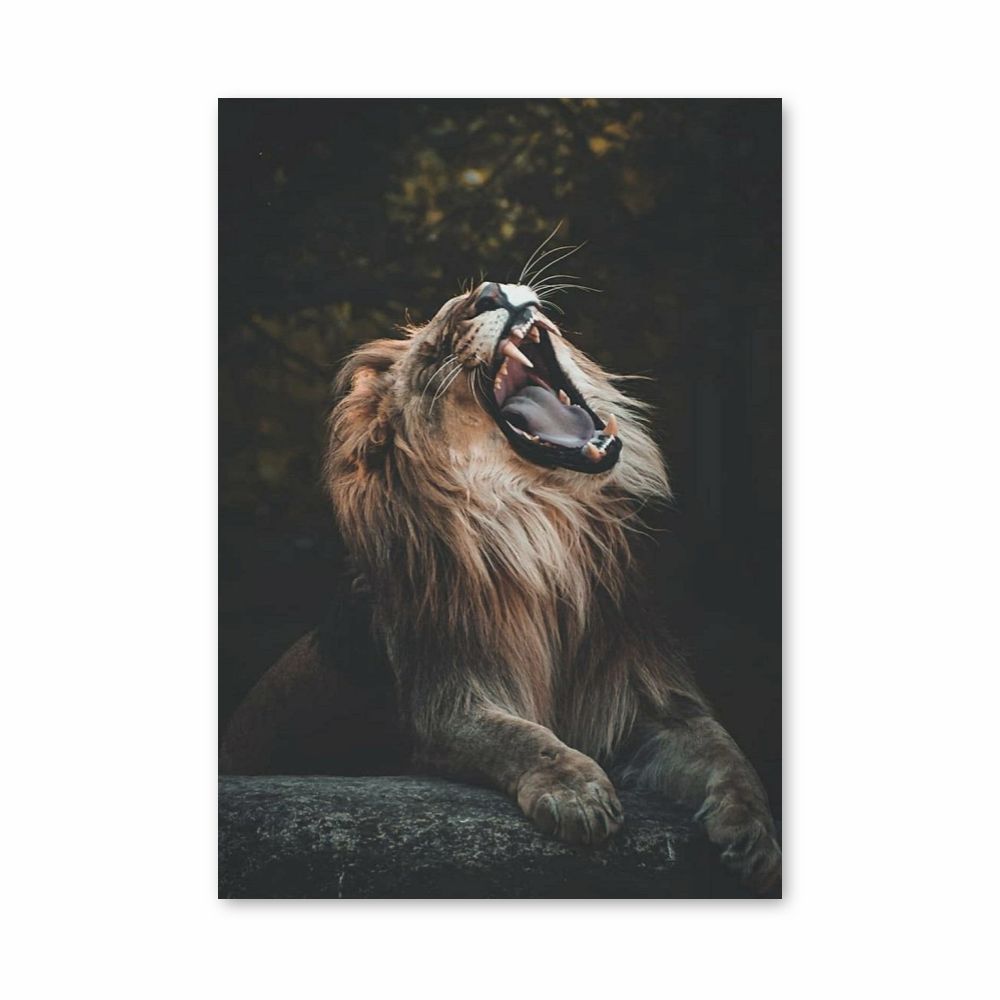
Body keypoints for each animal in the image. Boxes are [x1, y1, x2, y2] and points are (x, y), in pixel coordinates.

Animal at [221, 275, 781, 893]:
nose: (490, 291)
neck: (543, 522)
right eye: (440, 340)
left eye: (474, 294)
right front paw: (578, 793)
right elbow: (521, 739)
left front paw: (757, 836)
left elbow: (725, 749)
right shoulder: (446, 703)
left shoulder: (647, 693)